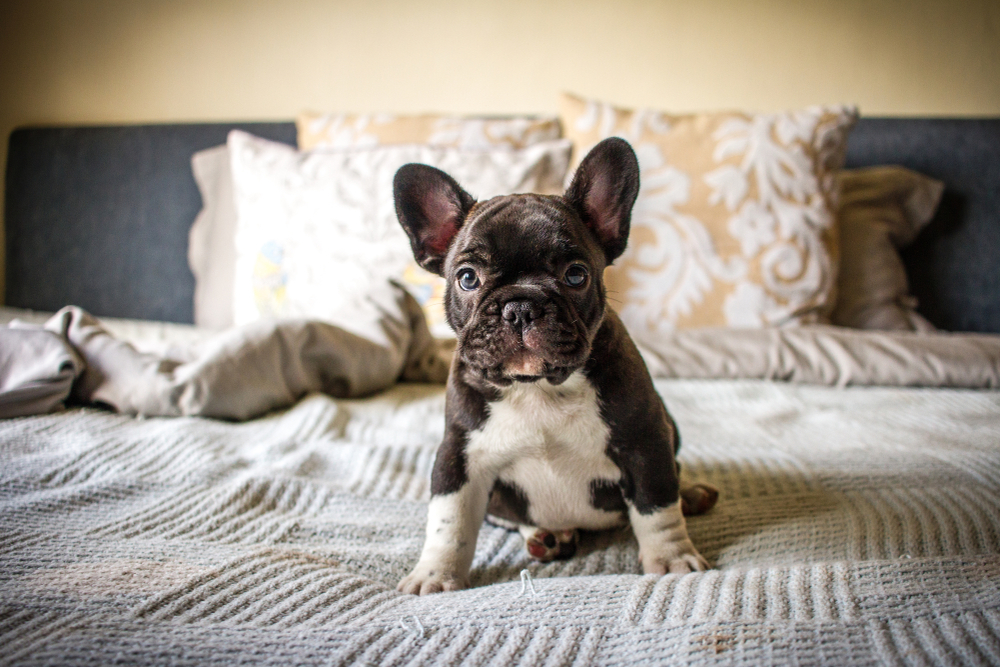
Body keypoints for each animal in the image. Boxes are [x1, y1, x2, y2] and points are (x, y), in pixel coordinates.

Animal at [394, 136, 716, 596]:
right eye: (468, 278)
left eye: (576, 275)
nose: (520, 306)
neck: (536, 386)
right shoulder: (458, 456)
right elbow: (449, 522)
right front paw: (435, 575)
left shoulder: (645, 443)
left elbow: (656, 508)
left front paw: (672, 559)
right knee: (511, 518)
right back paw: (546, 535)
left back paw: (692, 493)